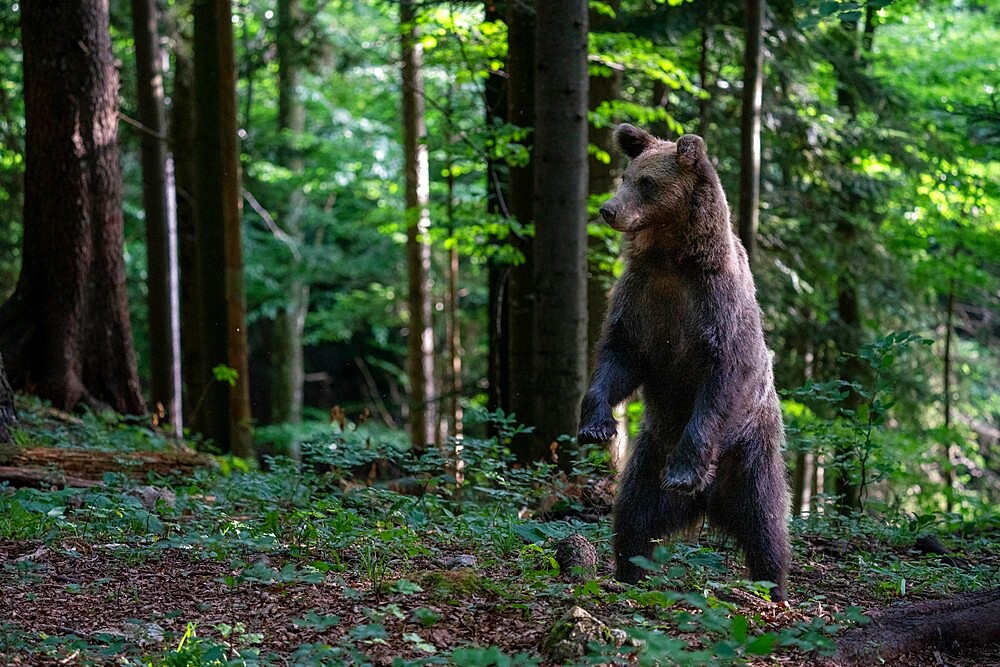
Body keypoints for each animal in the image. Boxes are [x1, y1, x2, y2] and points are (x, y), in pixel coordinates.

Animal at [580, 122, 788, 604]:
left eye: (647, 183)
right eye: (626, 176)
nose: (608, 209)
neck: (672, 259)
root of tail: (709, 501)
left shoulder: (715, 308)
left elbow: (721, 378)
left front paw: (683, 470)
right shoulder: (642, 300)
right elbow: (618, 358)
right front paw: (596, 423)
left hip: (749, 453)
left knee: (766, 523)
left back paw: (773, 586)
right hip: (650, 454)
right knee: (633, 515)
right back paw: (626, 572)